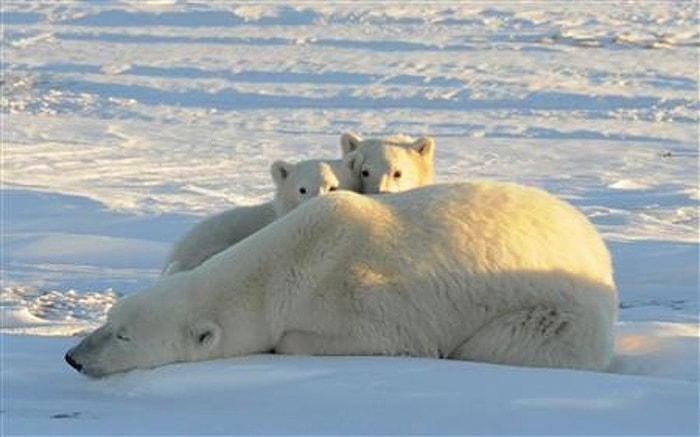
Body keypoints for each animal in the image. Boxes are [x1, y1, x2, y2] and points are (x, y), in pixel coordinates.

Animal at [65, 180, 616, 374]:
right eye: (110, 319)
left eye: (124, 336)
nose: (74, 357)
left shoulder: (362, 297)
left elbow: (387, 338)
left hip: (556, 312)